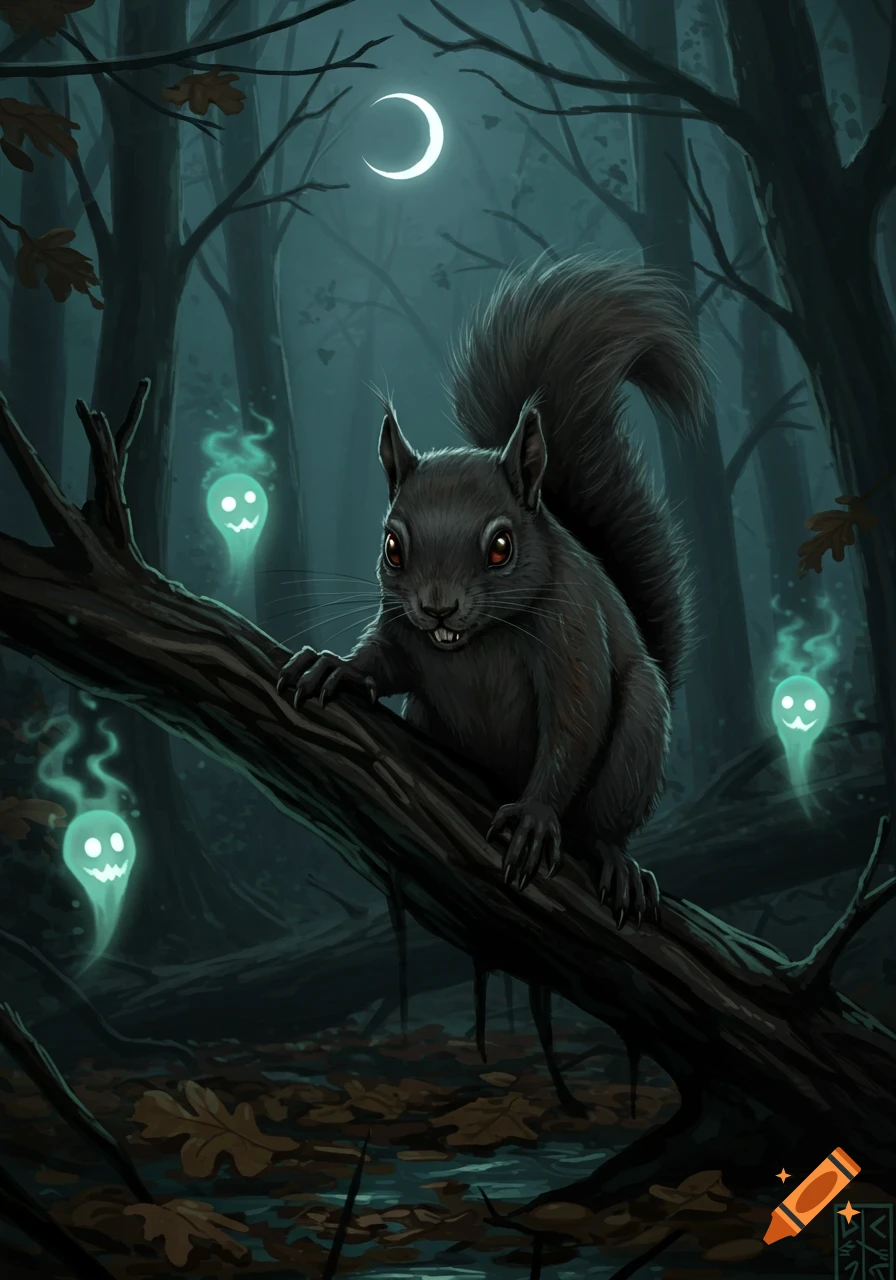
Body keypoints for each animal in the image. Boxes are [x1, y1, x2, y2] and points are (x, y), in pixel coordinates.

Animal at [277, 256, 708, 926]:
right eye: (392, 546)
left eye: (502, 547)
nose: (437, 607)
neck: (471, 645)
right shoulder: (401, 631)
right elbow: (384, 660)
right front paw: (335, 666)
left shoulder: (573, 631)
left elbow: (574, 724)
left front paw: (533, 817)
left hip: (639, 732)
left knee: (604, 819)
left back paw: (617, 861)